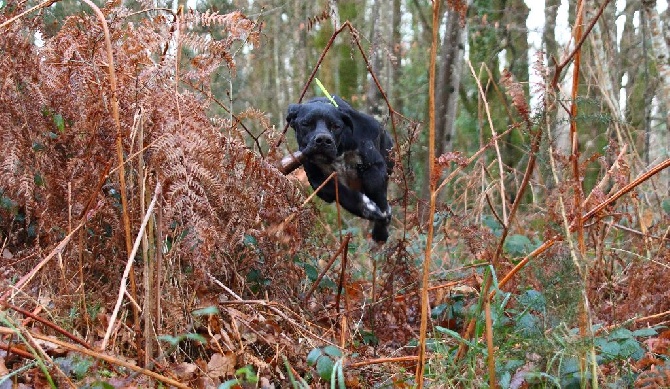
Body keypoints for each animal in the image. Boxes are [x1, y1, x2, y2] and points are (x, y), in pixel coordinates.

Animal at [288, 95, 394, 241]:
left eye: (336, 126)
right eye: (306, 124)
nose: (323, 140)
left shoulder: (373, 166)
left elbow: (376, 189)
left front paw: (382, 220)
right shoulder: (320, 183)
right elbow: (342, 193)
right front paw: (367, 208)